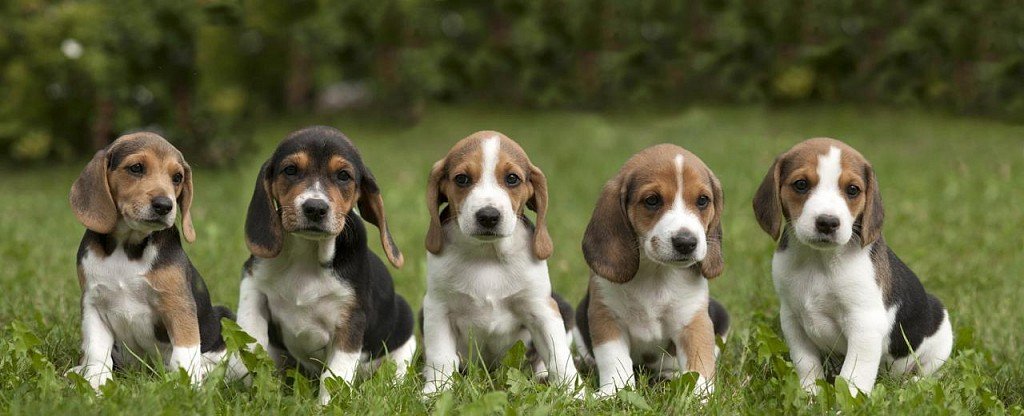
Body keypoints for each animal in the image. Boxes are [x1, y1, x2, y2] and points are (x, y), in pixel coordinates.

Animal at [69, 132, 233, 389]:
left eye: (177, 177)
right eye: (136, 168)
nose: (165, 205)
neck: (127, 247)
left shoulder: (178, 305)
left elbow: (185, 353)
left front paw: (187, 388)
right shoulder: (93, 304)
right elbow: (97, 352)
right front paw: (95, 384)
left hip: (223, 315)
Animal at [237, 126, 413, 403]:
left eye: (343, 176)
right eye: (290, 170)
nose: (315, 208)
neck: (307, 254)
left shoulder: (350, 322)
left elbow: (334, 376)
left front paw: (323, 406)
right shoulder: (253, 282)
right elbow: (252, 334)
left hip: (405, 329)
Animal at [419, 131, 581, 395]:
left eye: (512, 179)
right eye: (462, 179)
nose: (488, 216)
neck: (488, 255)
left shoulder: (542, 309)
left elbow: (559, 356)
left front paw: (573, 394)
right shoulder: (437, 308)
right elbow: (440, 356)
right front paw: (436, 391)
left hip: (563, 307)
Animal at [573, 144, 733, 397]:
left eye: (702, 200)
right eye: (652, 200)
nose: (686, 242)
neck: (656, 273)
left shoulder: (694, 323)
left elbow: (699, 364)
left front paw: (700, 397)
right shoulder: (606, 317)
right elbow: (613, 360)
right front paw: (614, 392)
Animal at [753, 138, 950, 395]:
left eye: (853, 190)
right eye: (801, 184)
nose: (827, 222)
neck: (819, 260)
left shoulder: (864, 324)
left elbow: (853, 376)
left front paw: (846, 399)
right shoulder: (792, 319)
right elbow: (807, 363)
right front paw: (810, 393)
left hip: (941, 337)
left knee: (927, 372)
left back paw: (913, 383)